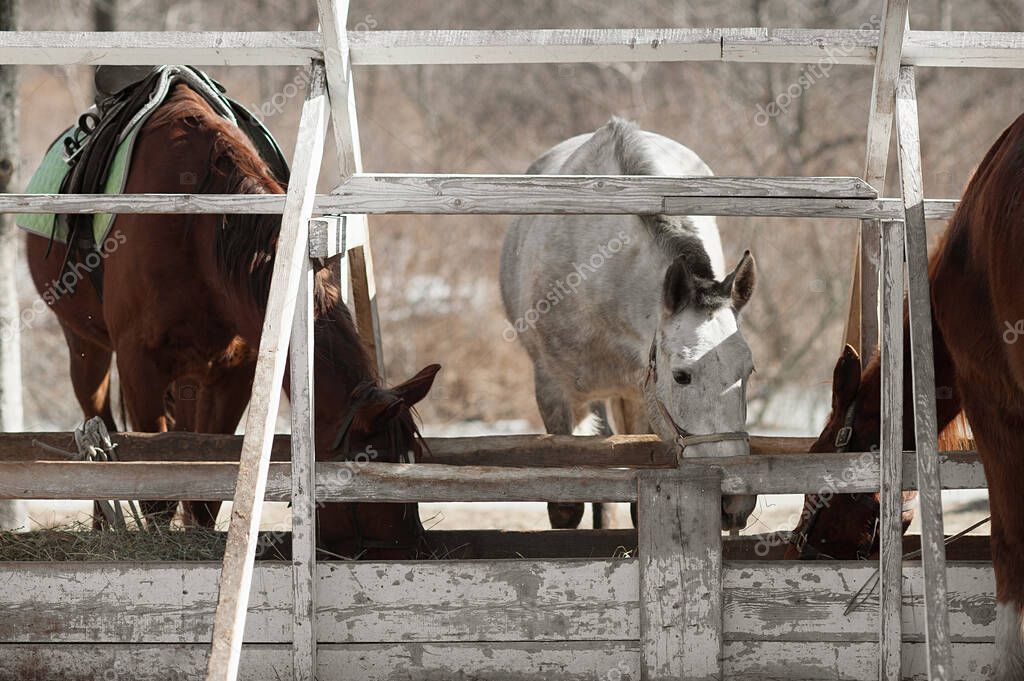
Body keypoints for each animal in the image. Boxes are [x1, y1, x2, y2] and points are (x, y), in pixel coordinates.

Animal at [499, 118, 757, 532]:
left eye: (747, 372)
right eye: (682, 376)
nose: (735, 501)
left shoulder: (641, 398)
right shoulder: (554, 395)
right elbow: (566, 508)